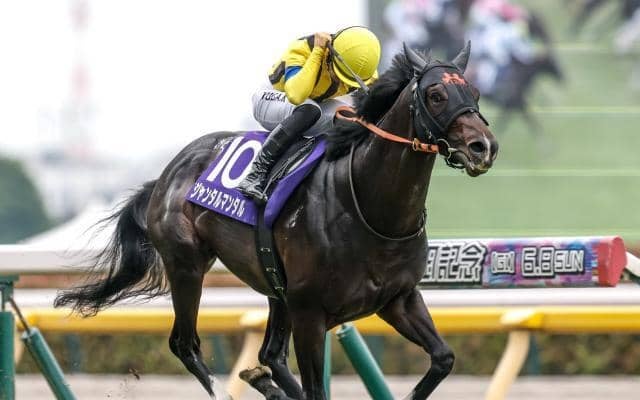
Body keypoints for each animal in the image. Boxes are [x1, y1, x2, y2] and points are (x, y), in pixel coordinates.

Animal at [54, 43, 498, 400]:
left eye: (474, 92)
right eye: (436, 94)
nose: (484, 147)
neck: (371, 208)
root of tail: (166, 174)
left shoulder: (397, 299)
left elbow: (443, 357)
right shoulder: (310, 312)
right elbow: (316, 389)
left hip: (273, 285)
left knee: (269, 355)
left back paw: (264, 382)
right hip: (187, 265)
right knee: (186, 344)